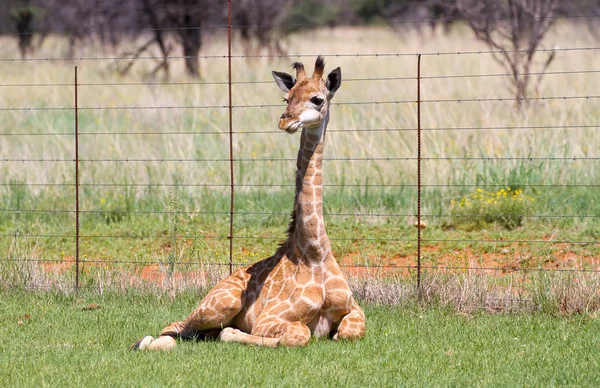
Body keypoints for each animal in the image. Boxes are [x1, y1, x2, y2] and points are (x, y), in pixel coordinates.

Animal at [132, 56, 366, 350]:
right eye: (286, 98)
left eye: (318, 99)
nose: (286, 121)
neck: (315, 253)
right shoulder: (268, 319)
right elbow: (298, 334)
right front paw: (234, 334)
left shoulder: (355, 310)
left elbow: (349, 331)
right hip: (221, 304)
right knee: (175, 327)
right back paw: (149, 343)